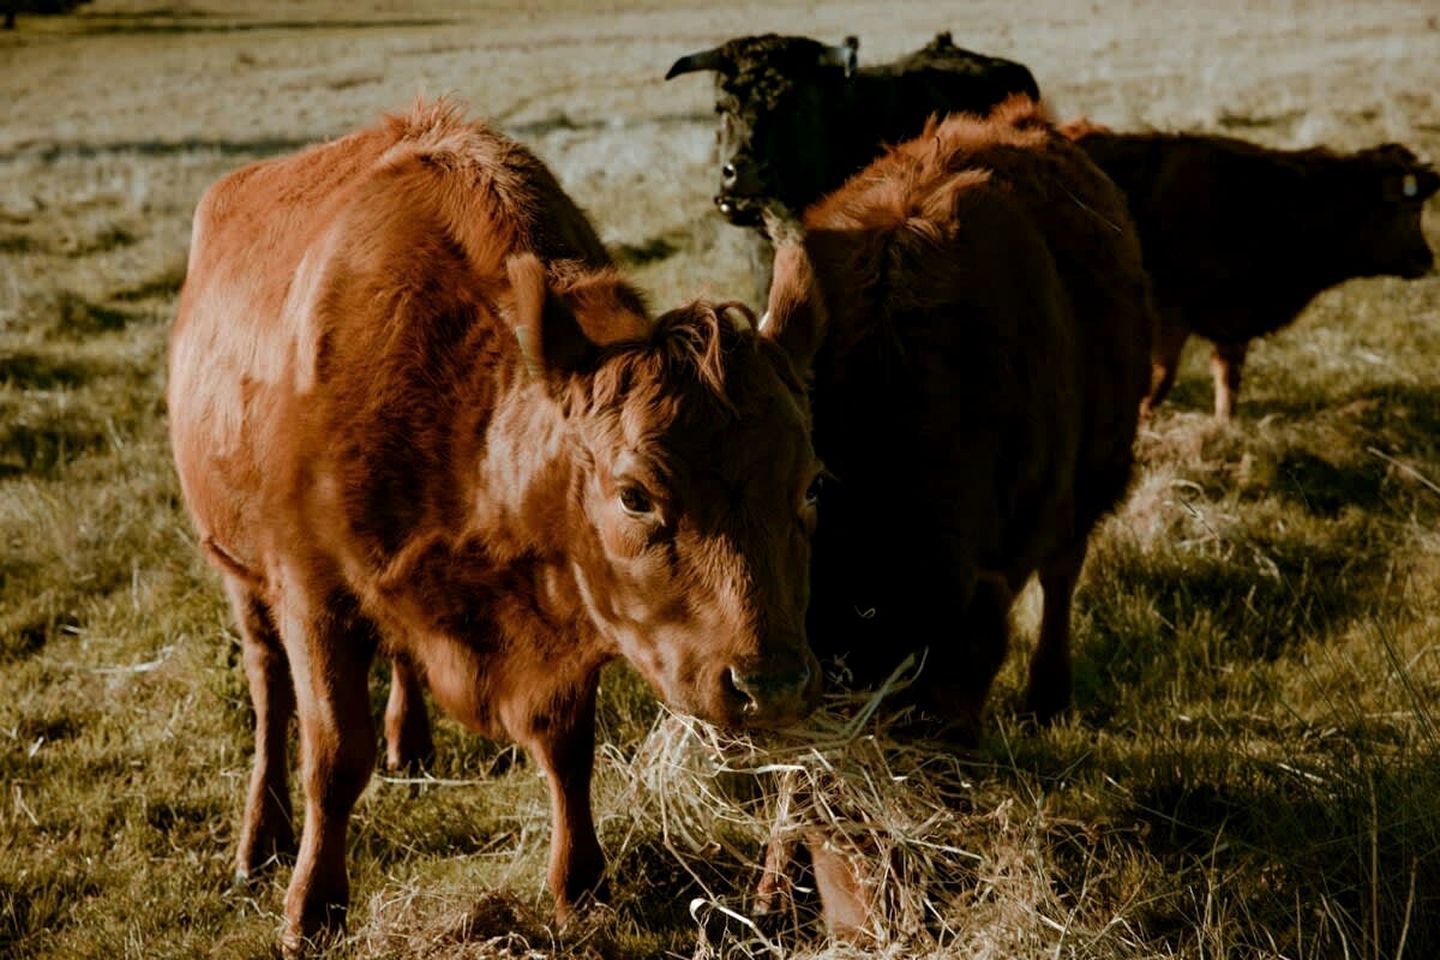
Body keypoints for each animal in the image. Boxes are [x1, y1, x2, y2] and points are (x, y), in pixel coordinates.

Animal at [167, 100, 825, 953]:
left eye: (810, 484)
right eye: (635, 496)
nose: (770, 685)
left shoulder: (563, 613)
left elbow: (567, 749)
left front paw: (580, 883)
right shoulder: (313, 593)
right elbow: (332, 757)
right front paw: (312, 909)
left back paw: (410, 746)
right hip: (240, 573)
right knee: (267, 685)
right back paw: (263, 837)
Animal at [756, 95, 1152, 931]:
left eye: (938, 776)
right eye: (818, 799)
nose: (873, 929)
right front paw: (774, 883)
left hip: (1092, 477)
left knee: (1063, 576)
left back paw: (1047, 695)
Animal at [1062, 120, 1440, 419]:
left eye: (1421, 206)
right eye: (1400, 207)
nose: (1426, 259)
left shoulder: (1235, 319)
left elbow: (1228, 379)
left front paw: (1224, 427)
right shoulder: (1167, 314)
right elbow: (1159, 379)